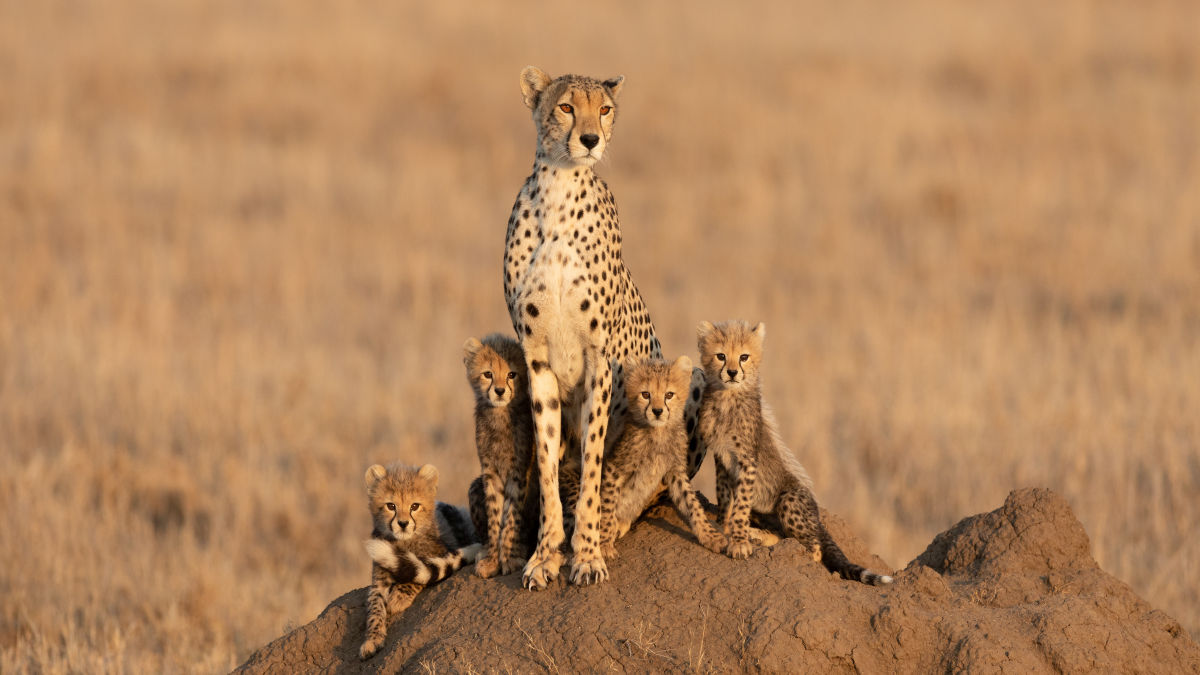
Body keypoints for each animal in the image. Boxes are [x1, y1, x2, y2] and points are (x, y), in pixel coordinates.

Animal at [504, 65, 705, 586]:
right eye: (566, 106)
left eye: (606, 109)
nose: (591, 139)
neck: (558, 191)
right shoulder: (535, 360)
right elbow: (549, 464)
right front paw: (545, 555)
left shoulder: (600, 361)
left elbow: (595, 464)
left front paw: (588, 553)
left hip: (695, 377)